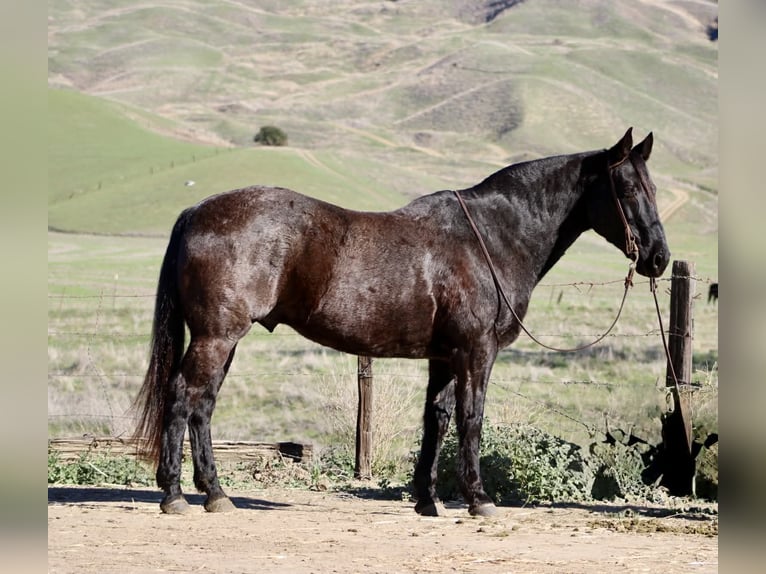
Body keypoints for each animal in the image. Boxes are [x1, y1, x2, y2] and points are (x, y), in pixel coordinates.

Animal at [133, 128, 670, 516]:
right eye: (627, 188)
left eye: (654, 188)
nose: (660, 259)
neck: (489, 239)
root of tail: (196, 211)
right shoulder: (476, 352)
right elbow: (472, 419)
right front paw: (478, 500)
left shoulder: (445, 357)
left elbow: (437, 419)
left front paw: (428, 501)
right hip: (216, 337)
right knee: (183, 398)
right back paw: (176, 496)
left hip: (223, 341)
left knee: (202, 406)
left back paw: (214, 494)